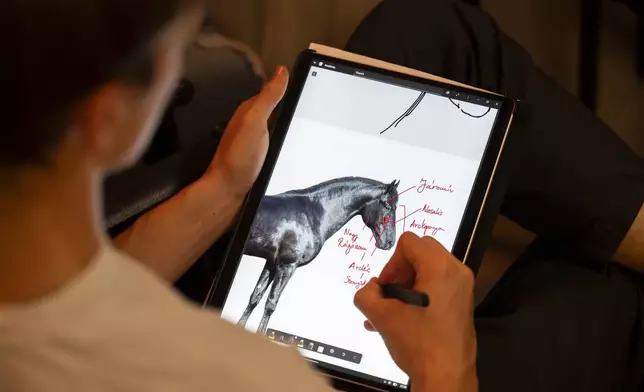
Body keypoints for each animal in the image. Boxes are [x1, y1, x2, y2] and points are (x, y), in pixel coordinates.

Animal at [238, 178, 398, 334]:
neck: (313, 214)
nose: (390, 242)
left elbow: (255, 297)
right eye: (388, 206)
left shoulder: (272, 263)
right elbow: (271, 304)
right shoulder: (287, 266)